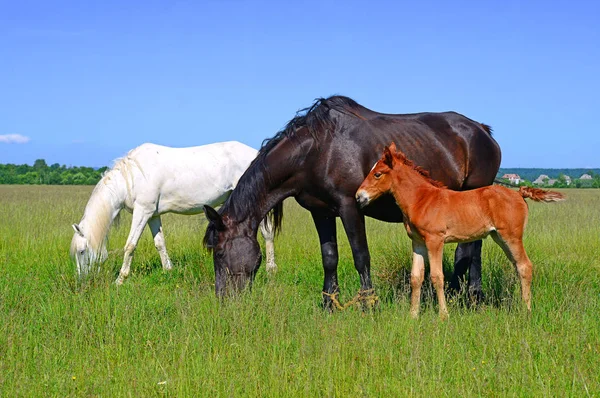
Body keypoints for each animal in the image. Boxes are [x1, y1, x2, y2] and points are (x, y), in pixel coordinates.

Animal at [70, 141, 276, 284]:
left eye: (82, 251)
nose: (82, 281)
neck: (131, 178)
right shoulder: (152, 215)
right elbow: (160, 243)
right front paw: (168, 270)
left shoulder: (142, 212)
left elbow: (130, 245)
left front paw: (120, 280)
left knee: (267, 233)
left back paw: (270, 269)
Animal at [203, 94, 502, 304]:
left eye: (219, 252)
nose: (223, 300)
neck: (315, 151)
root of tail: (483, 131)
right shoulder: (321, 212)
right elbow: (329, 257)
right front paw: (329, 304)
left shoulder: (350, 207)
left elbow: (361, 256)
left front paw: (368, 303)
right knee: (468, 248)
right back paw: (459, 292)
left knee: (474, 247)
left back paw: (472, 295)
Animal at [354, 143, 564, 320]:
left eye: (378, 174)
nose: (359, 196)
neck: (422, 199)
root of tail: (519, 193)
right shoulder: (418, 243)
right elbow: (416, 277)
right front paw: (413, 315)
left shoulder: (435, 241)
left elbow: (437, 277)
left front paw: (443, 315)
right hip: (499, 237)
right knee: (518, 266)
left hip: (511, 237)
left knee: (525, 266)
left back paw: (526, 311)